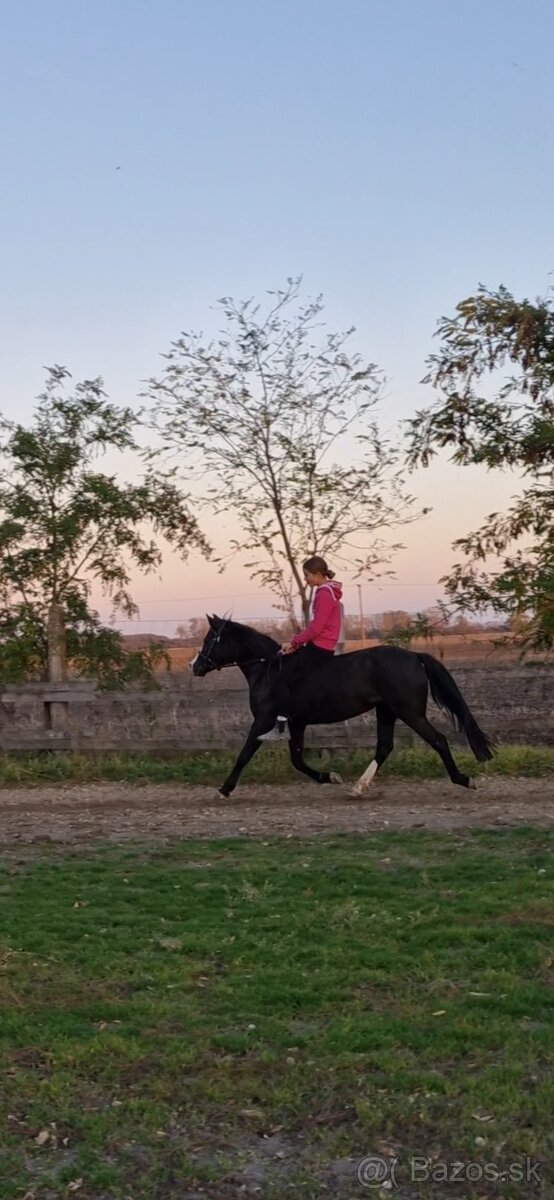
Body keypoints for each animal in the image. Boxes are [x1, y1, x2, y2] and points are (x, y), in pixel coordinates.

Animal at [191, 615, 495, 798]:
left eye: (208, 639)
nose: (195, 666)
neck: (266, 668)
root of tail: (414, 656)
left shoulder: (264, 721)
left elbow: (244, 755)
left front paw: (224, 789)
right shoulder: (296, 723)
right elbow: (297, 760)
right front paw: (331, 777)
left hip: (409, 712)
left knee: (438, 740)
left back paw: (464, 779)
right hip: (387, 711)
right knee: (384, 746)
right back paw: (358, 787)